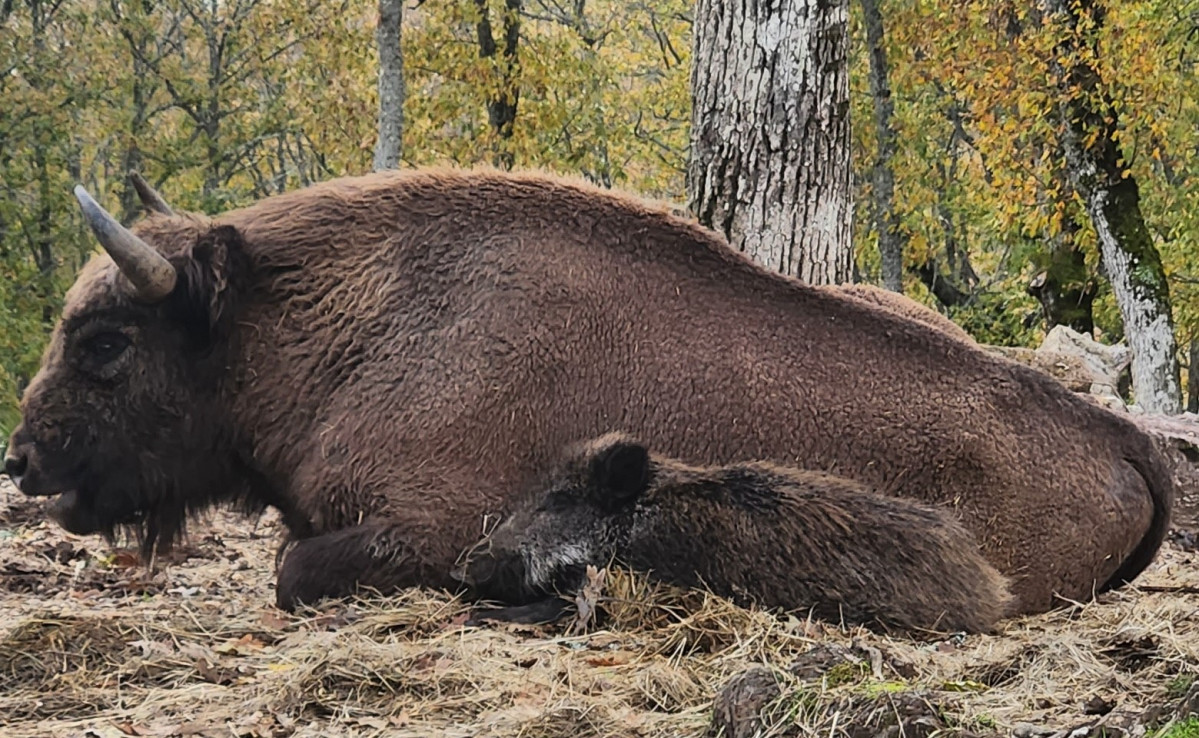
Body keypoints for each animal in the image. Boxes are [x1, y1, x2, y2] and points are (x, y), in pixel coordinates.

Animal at [455, 431, 1011, 632]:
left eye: (559, 501)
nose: (466, 568)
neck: (637, 522)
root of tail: (994, 588)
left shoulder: (638, 586)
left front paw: (480, 617)